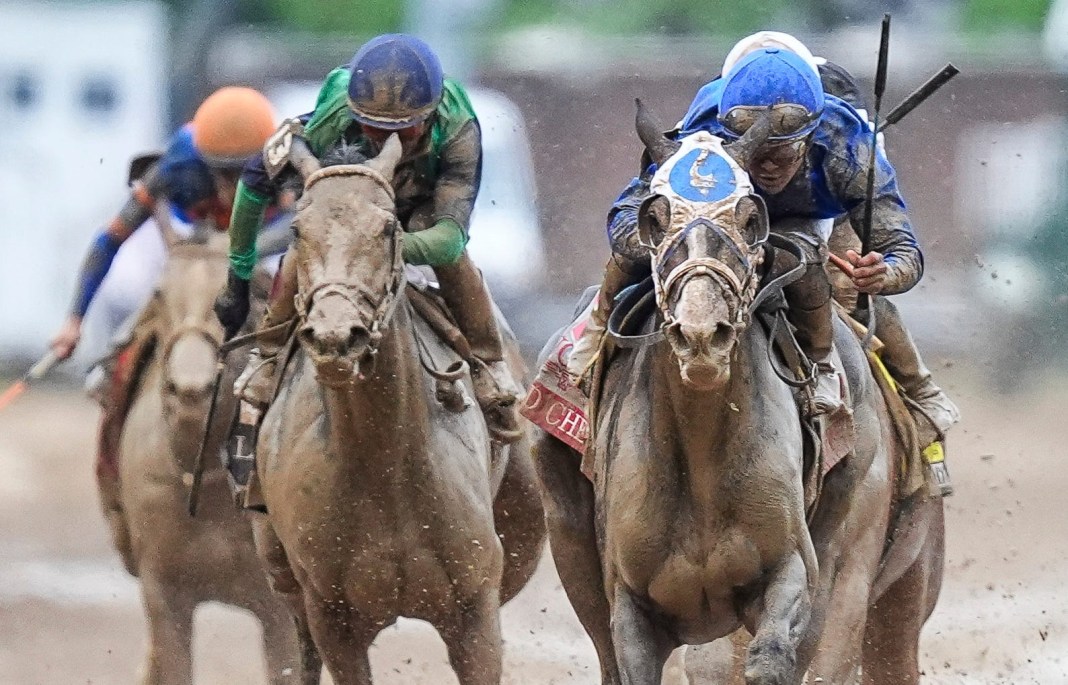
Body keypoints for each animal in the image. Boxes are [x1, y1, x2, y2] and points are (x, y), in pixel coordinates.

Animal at [250, 135, 544, 684]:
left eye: (388, 228)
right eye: (297, 231)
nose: (335, 338)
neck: (385, 464)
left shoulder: (475, 609)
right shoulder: (332, 617)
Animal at [529, 103, 944, 685]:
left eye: (751, 218)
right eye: (655, 217)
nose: (703, 333)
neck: (702, 452)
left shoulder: (793, 576)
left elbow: (772, 656)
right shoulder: (630, 609)